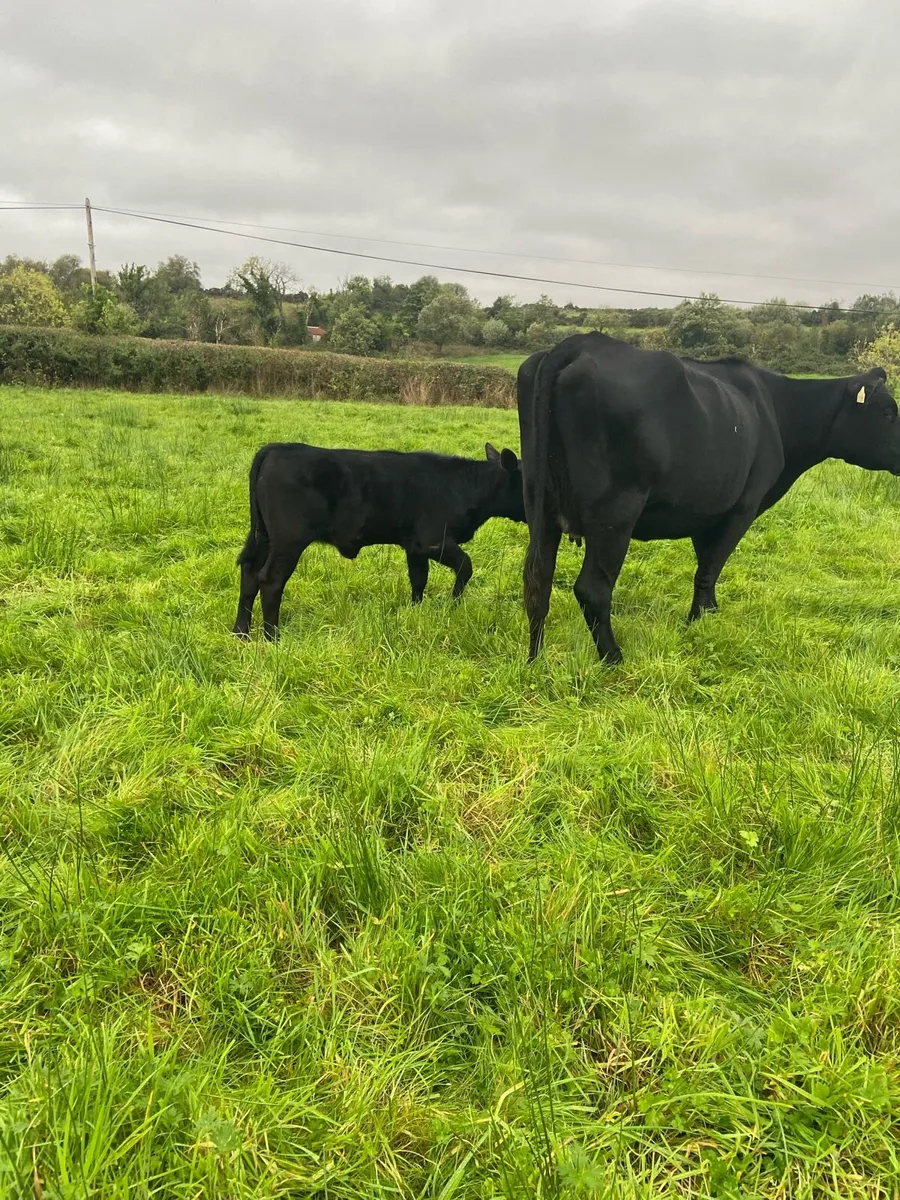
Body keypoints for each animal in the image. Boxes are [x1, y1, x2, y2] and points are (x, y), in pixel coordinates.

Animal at [232, 441, 525, 639]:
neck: (464, 486)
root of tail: (277, 448)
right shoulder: (434, 540)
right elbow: (465, 565)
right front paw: (452, 605)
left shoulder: (415, 546)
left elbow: (419, 578)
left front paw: (416, 612)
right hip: (288, 541)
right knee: (270, 579)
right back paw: (272, 637)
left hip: (265, 537)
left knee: (250, 574)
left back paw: (241, 633)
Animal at [516, 331, 900, 664]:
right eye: (887, 412)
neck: (776, 410)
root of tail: (579, 343)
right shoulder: (743, 506)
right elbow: (711, 566)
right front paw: (697, 622)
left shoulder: (707, 511)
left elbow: (705, 565)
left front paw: (709, 614)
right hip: (616, 511)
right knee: (592, 588)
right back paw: (614, 659)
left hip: (539, 498)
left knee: (538, 576)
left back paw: (536, 659)